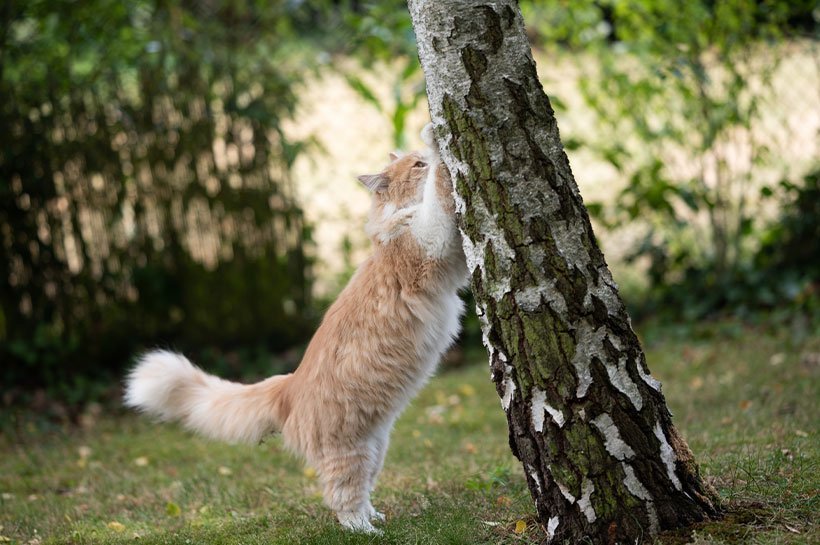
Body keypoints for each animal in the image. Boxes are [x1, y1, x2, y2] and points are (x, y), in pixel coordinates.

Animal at [121, 122, 468, 532]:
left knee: (364, 490)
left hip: (376, 446)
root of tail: (288, 385)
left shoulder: (452, 257)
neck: (388, 231)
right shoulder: (431, 237)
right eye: (417, 165)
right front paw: (437, 139)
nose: (423, 155)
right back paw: (367, 529)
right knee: (343, 499)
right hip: (349, 452)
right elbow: (439, 192)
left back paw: (375, 515)